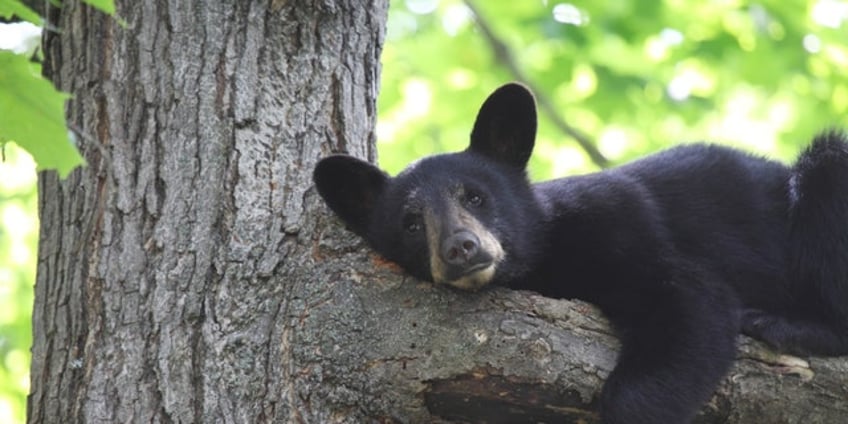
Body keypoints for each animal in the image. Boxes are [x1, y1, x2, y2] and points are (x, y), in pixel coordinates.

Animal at [312, 83, 848, 424]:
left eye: (476, 197)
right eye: (410, 223)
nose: (461, 248)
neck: (547, 255)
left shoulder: (621, 225)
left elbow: (692, 301)